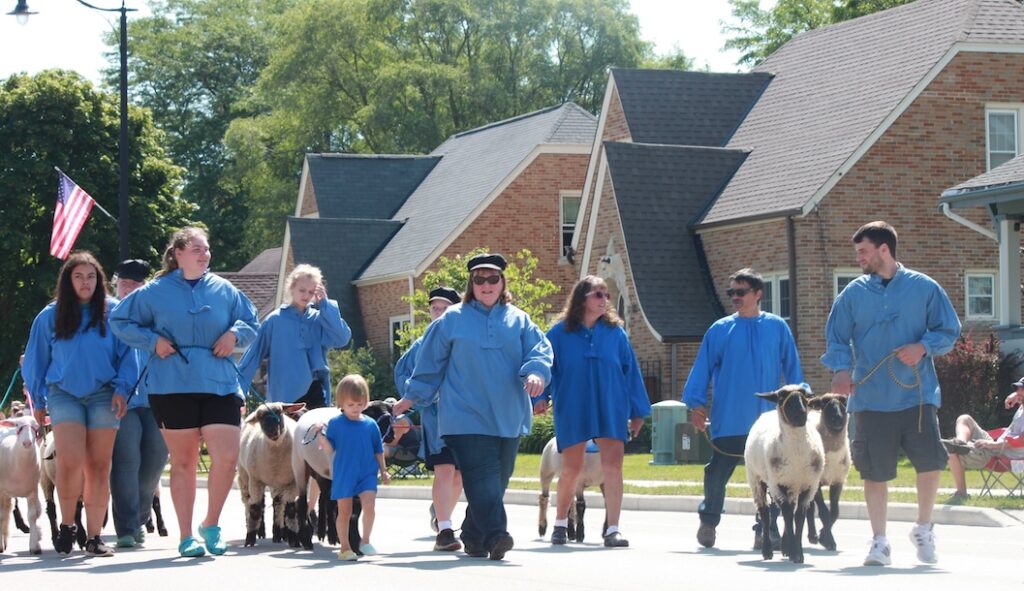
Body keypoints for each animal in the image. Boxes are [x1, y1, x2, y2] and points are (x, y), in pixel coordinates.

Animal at [0, 413, 43, 553]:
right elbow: (1, 516)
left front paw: (34, 546)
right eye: (18, 425)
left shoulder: (33, 491)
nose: (27, 442)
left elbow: (32, 516)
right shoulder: (1, 491)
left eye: (36, 426)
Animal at [237, 401, 305, 549]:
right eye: (260, 417)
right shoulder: (255, 480)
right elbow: (255, 509)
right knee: (249, 502)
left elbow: (290, 510)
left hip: (277, 483)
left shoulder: (292, 483)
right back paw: (256, 529)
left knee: (278, 504)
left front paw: (294, 539)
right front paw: (249, 539)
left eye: (279, 412)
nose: (272, 431)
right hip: (244, 475)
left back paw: (277, 534)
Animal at [745, 383, 823, 561]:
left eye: (804, 397)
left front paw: (797, 553)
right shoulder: (777, 484)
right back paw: (767, 550)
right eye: (781, 398)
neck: (796, 455)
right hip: (757, 479)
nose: (801, 414)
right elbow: (787, 514)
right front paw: (794, 552)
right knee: (765, 513)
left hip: (792, 485)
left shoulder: (809, 485)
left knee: (787, 510)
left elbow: (799, 516)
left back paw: (785, 546)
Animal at [802, 391, 851, 549]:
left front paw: (824, 534)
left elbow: (834, 512)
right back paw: (812, 536)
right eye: (824, 403)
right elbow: (824, 512)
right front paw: (828, 540)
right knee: (810, 508)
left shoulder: (838, 482)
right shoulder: (816, 482)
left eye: (844, 402)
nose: (837, 418)